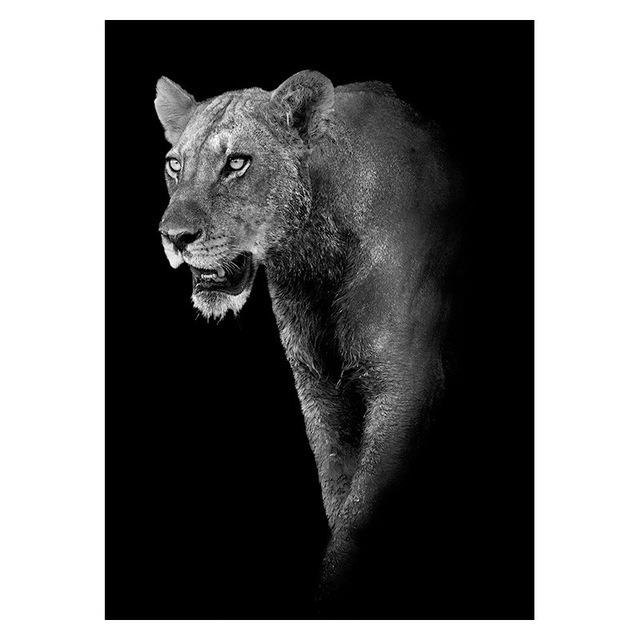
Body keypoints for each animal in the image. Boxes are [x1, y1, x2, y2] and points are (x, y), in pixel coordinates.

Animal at [155, 70, 458, 613]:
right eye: (174, 164)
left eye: (237, 163)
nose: (174, 236)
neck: (313, 258)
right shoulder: (319, 387)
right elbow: (338, 491)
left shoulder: (406, 384)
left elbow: (359, 516)